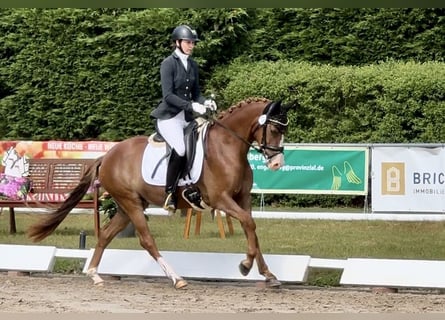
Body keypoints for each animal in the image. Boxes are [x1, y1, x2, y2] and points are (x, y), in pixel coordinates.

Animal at [28, 96, 292, 288]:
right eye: (274, 130)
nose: (277, 163)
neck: (227, 147)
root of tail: (108, 155)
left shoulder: (242, 199)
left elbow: (251, 228)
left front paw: (268, 275)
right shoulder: (221, 200)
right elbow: (248, 223)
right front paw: (246, 265)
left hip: (127, 206)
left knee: (105, 235)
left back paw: (94, 275)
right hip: (131, 204)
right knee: (146, 240)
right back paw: (177, 279)